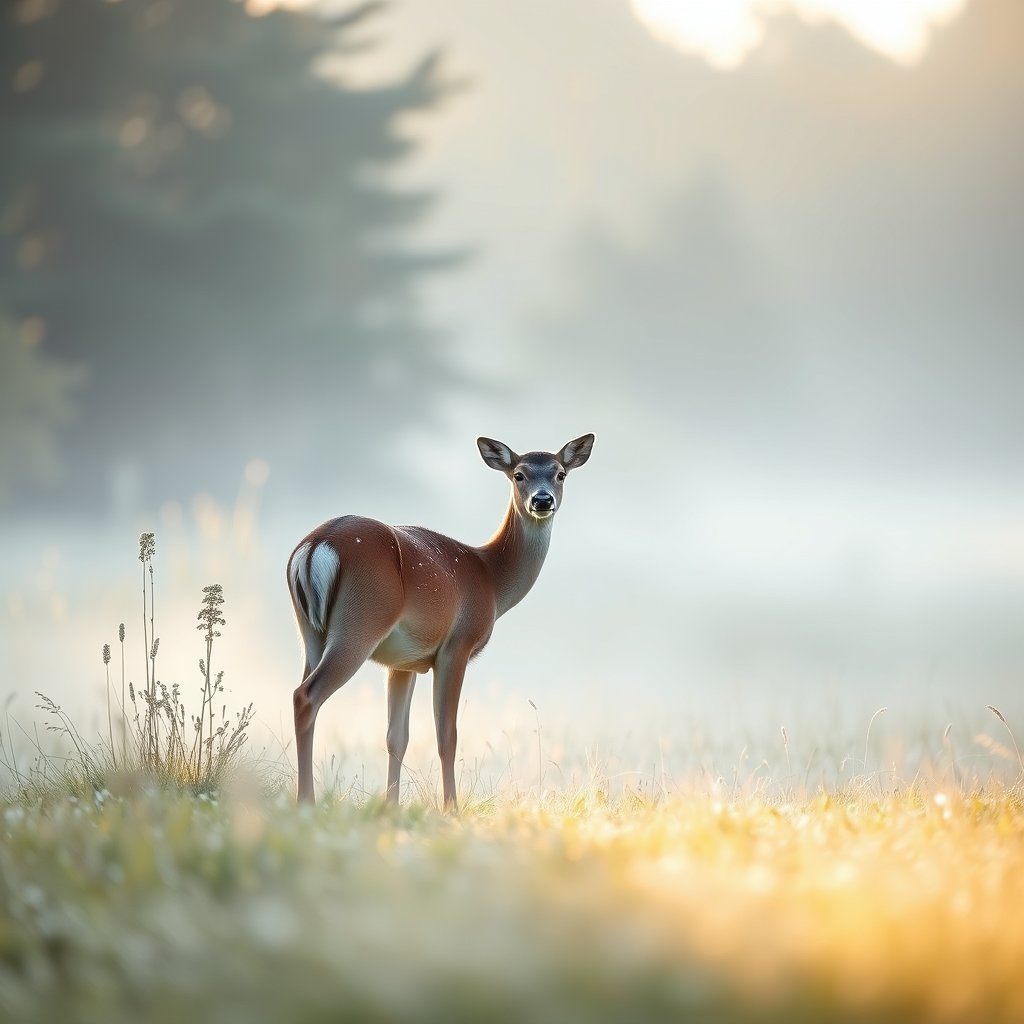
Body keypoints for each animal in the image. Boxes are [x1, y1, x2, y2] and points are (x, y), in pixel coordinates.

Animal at [287, 433, 595, 809]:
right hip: (360, 622)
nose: (542, 499)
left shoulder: (402, 662)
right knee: (306, 696)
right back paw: (306, 802)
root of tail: (315, 546)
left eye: (560, 473)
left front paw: (391, 806)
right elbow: (447, 736)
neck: (491, 578)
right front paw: (452, 808)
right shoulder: (456, 645)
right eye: (519, 474)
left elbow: (396, 737)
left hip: (310, 632)